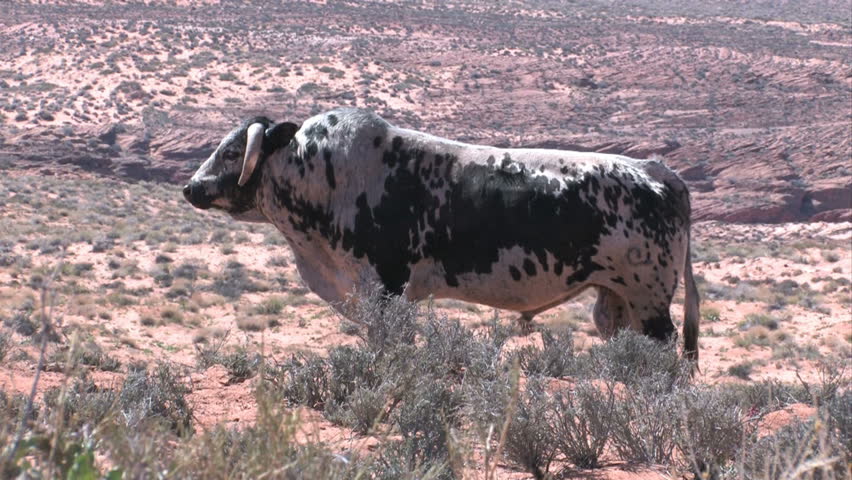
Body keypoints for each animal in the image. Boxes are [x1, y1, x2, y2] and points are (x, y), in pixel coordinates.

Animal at [183, 107, 701, 363]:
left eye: (230, 152)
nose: (190, 187)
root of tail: (656, 170)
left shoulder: (385, 288)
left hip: (651, 301)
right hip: (616, 300)